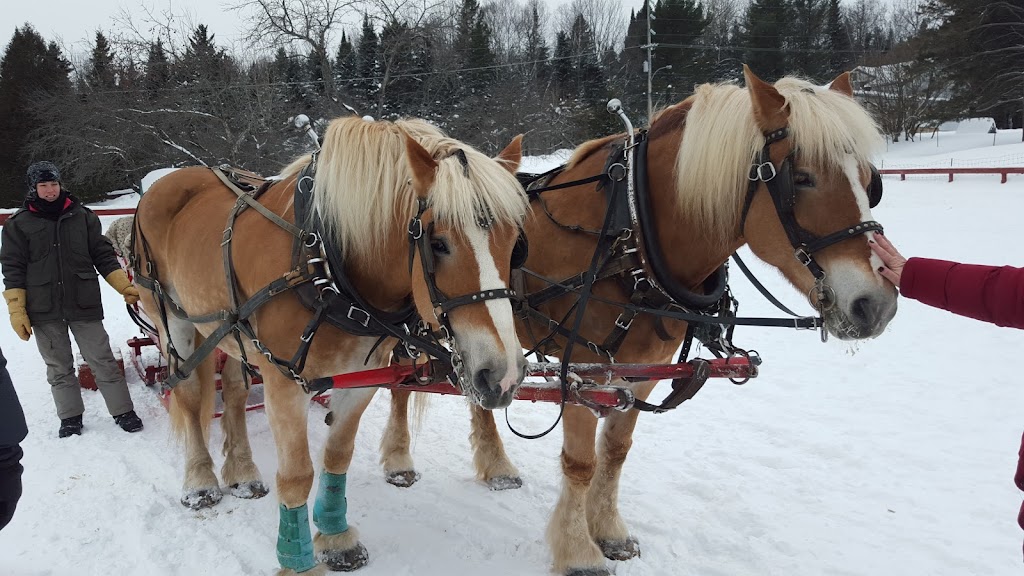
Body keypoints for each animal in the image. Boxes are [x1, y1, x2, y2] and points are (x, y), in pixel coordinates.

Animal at [132, 114, 528, 569]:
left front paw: (336, 538)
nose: (503, 375)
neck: (325, 262)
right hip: (173, 321)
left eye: (515, 243)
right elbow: (297, 473)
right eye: (438, 242)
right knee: (189, 394)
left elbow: (337, 456)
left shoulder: (362, 377)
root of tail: (167, 181)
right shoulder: (285, 381)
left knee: (233, 391)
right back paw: (200, 481)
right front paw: (296, 558)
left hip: (230, 329)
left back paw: (243, 473)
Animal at [378, 63, 897, 573]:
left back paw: (496, 467)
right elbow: (581, 464)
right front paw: (579, 552)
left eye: (872, 180)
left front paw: (608, 531)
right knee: (401, 378)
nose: (877, 305)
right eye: (802, 178)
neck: (633, 238)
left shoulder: (644, 368)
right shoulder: (583, 371)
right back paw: (400, 459)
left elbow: (615, 453)